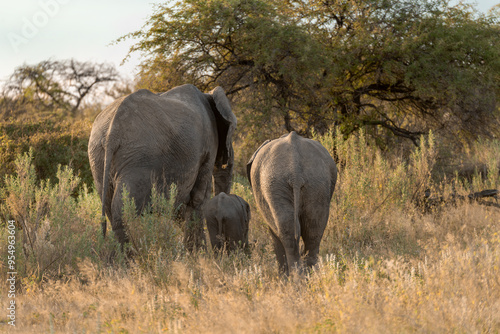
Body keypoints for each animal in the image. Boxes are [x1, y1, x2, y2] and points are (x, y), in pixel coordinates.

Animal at [88, 84, 236, 250]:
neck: (208, 94)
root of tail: (111, 134)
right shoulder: (208, 145)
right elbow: (198, 198)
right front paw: (199, 252)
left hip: (98, 157)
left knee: (108, 205)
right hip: (140, 159)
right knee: (123, 210)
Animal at [246, 132, 336, 276]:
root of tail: (295, 170)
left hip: (275, 183)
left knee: (288, 232)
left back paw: (295, 278)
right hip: (316, 182)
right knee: (312, 230)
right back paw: (309, 277)